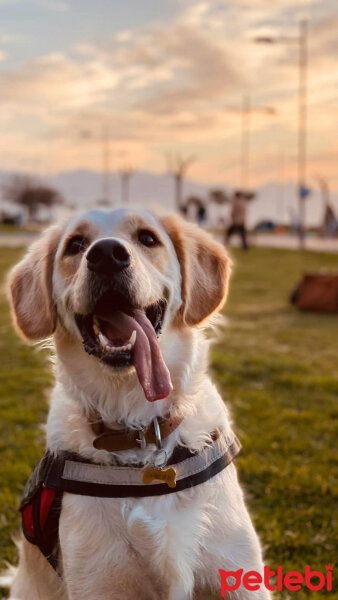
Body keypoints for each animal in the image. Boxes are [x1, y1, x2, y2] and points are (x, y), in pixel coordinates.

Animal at [6, 207, 270, 600]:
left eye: (147, 238)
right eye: (75, 245)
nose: (106, 255)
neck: (142, 428)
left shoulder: (238, 575)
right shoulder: (99, 582)